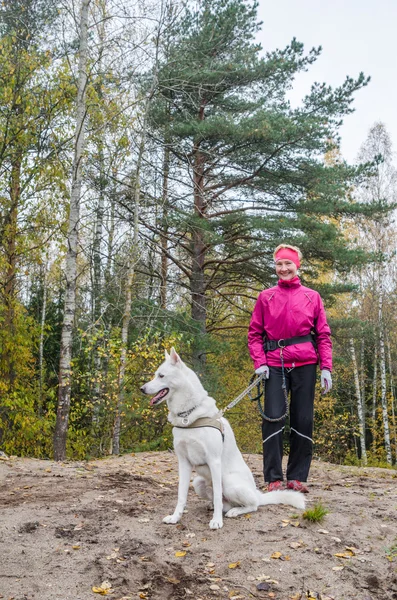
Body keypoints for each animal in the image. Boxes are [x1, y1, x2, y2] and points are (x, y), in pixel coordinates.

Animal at [141, 346, 304, 528]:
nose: (142, 388)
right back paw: (215, 506)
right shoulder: (183, 463)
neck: (188, 416)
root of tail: (258, 494)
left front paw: (217, 521)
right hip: (198, 482)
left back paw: (235, 511)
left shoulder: (214, 461)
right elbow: (181, 495)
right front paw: (176, 517)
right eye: (155, 374)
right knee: (222, 501)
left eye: (161, 376)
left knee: (252, 505)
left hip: (228, 481)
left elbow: (218, 494)